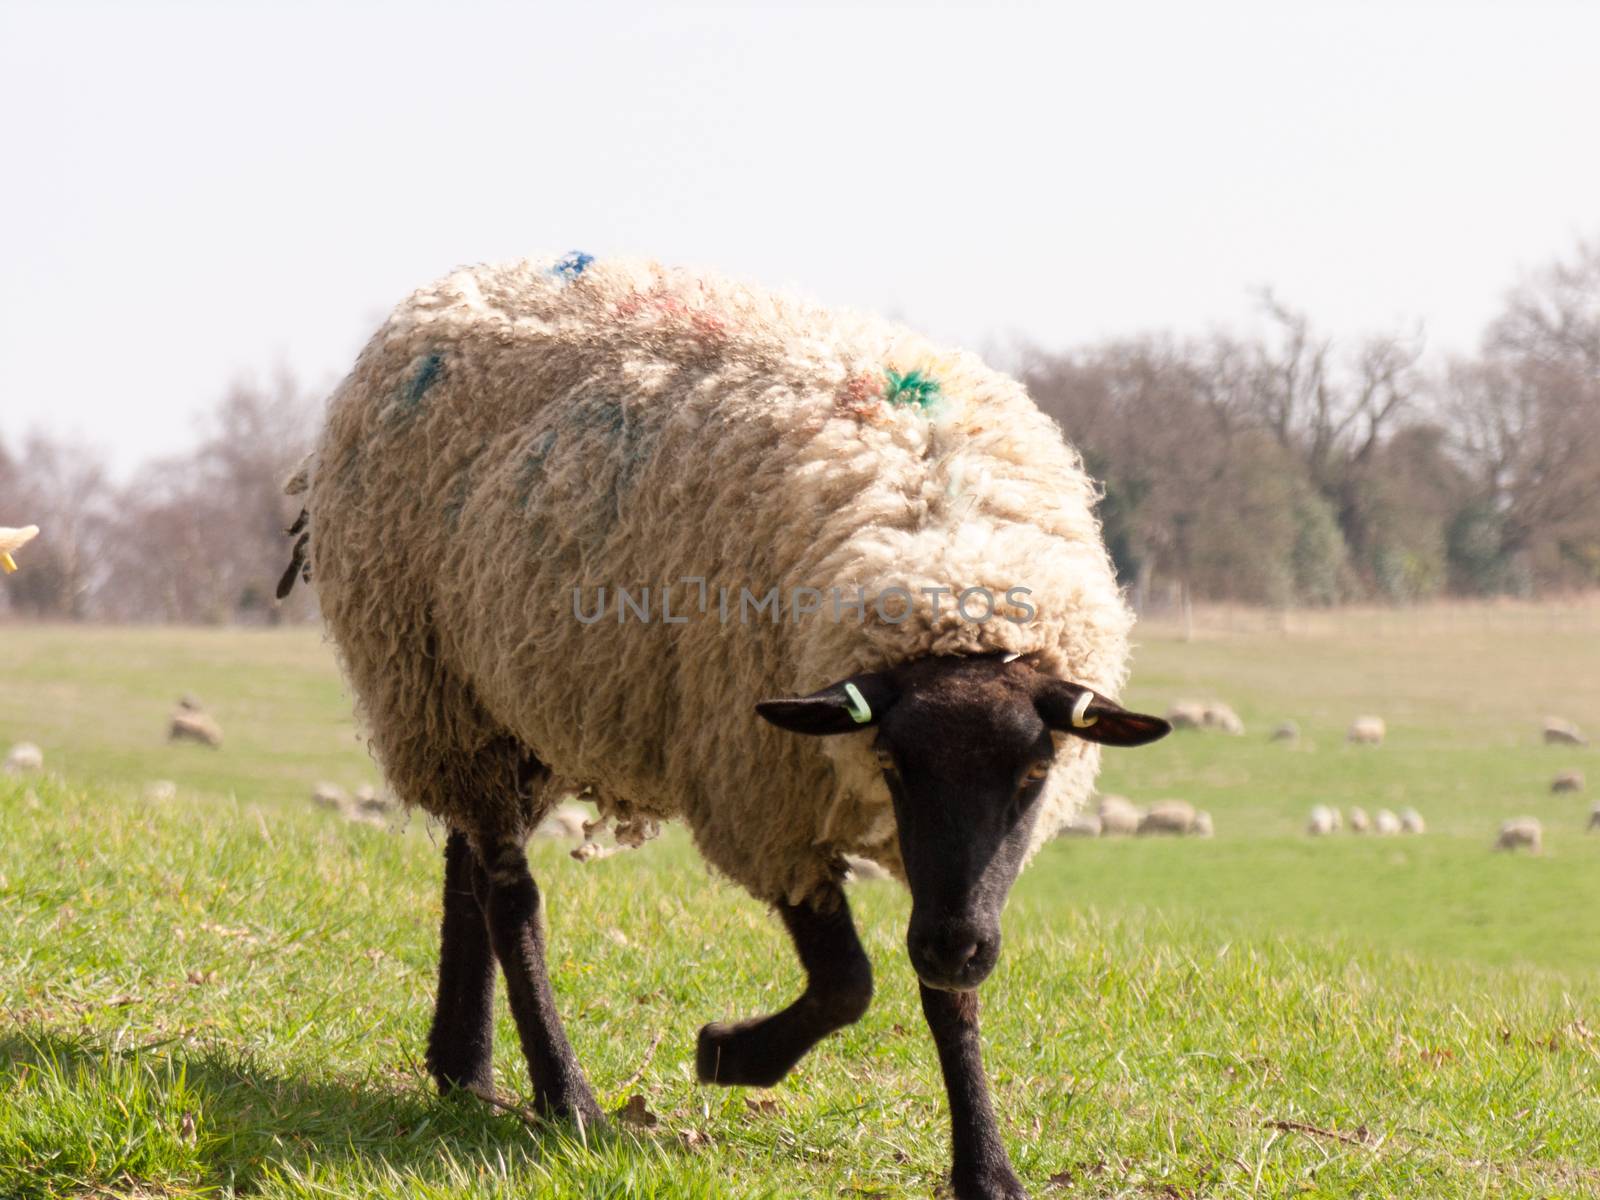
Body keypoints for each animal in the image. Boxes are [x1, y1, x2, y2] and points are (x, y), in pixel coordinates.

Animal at [294, 254, 1171, 1200]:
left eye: (1036, 775)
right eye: (893, 762)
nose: (953, 947)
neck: (947, 553)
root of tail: (446, 293)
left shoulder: (947, 869)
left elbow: (950, 1002)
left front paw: (986, 1169)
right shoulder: (762, 791)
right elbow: (848, 983)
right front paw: (732, 1055)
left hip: (505, 705)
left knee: (469, 863)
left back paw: (465, 1068)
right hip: (434, 683)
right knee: (508, 891)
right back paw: (567, 1099)